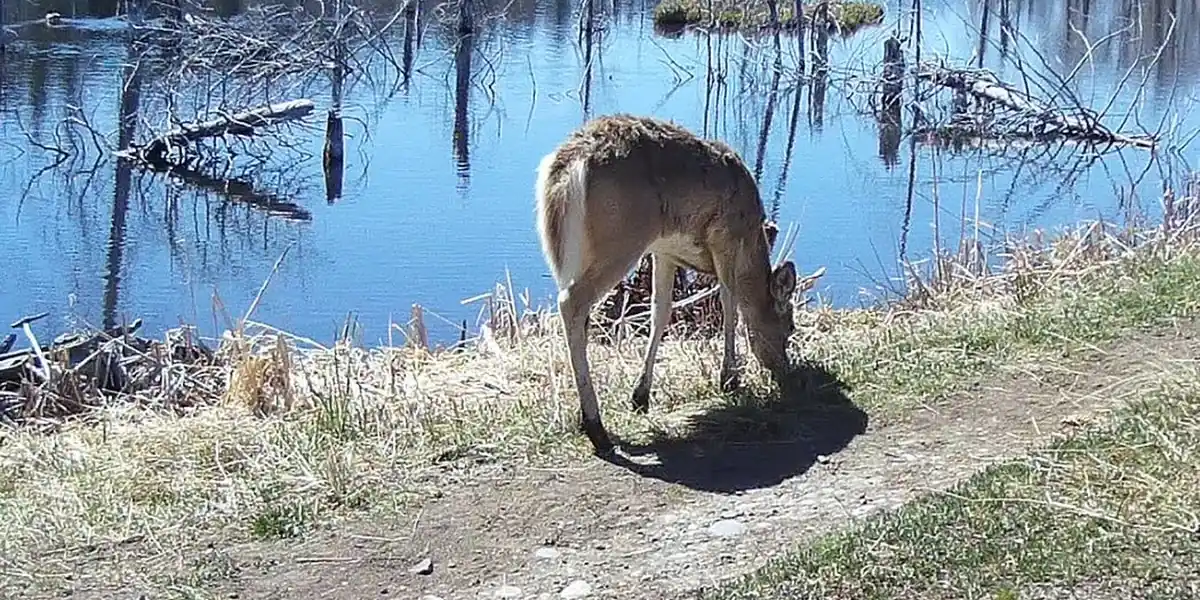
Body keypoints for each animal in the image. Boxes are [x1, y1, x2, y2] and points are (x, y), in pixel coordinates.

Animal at [534, 113, 806, 456]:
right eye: (790, 326)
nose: (785, 370)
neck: (751, 243)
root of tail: (569, 163)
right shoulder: (725, 237)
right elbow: (729, 305)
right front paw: (729, 379)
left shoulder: (664, 250)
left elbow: (660, 312)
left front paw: (640, 396)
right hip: (622, 237)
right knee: (571, 302)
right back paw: (596, 428)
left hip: (574, 251)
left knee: (577, 314)